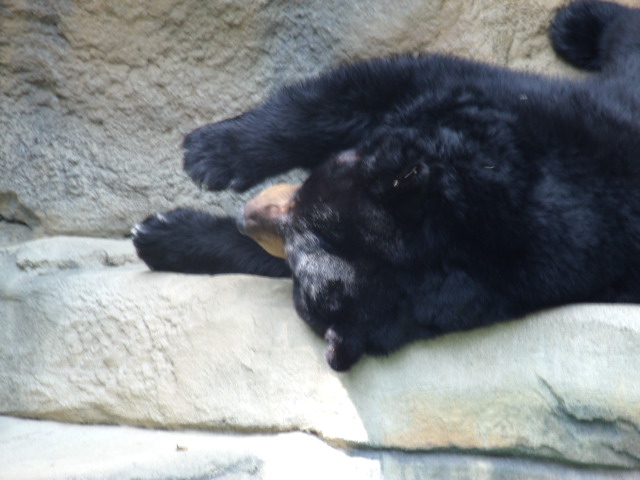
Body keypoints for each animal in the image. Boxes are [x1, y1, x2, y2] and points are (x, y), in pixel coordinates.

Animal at [133, 0, 640, 371]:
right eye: (305, 191)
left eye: (296, 252)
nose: (246, 217)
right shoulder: (490, 110)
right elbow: (369, 89)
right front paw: (211, 153)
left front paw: (162, 232)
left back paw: (579, 22)